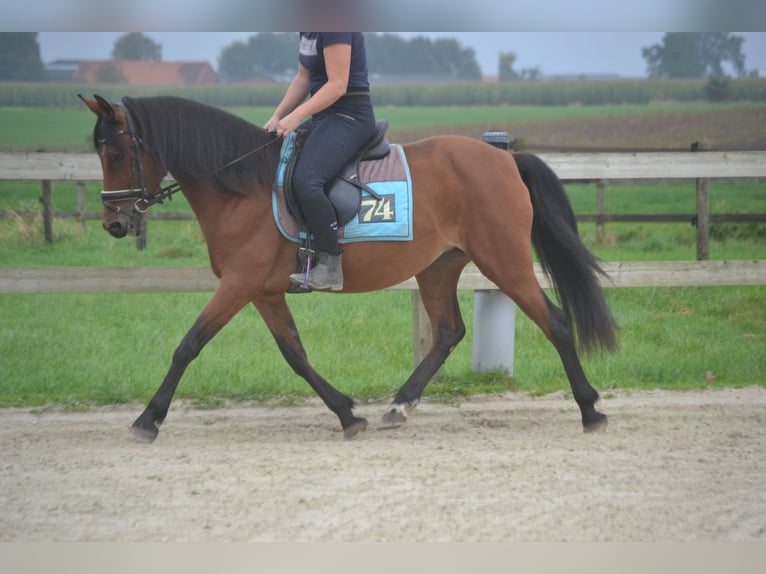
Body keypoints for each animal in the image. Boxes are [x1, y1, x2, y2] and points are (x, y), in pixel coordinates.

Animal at [81, 97, 616, 444]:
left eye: (117, 153)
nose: (113, 223)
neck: (241, 185)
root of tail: (505, 159)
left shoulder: (238, 284)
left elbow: (188, 345)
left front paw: (148, 419)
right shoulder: (263, 291)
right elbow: (295, 354)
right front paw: (346, 413)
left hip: (504, 260)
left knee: (555, 321)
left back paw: (590, 408)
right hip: (438, 267)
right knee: (448, 331)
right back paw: (400, 404)